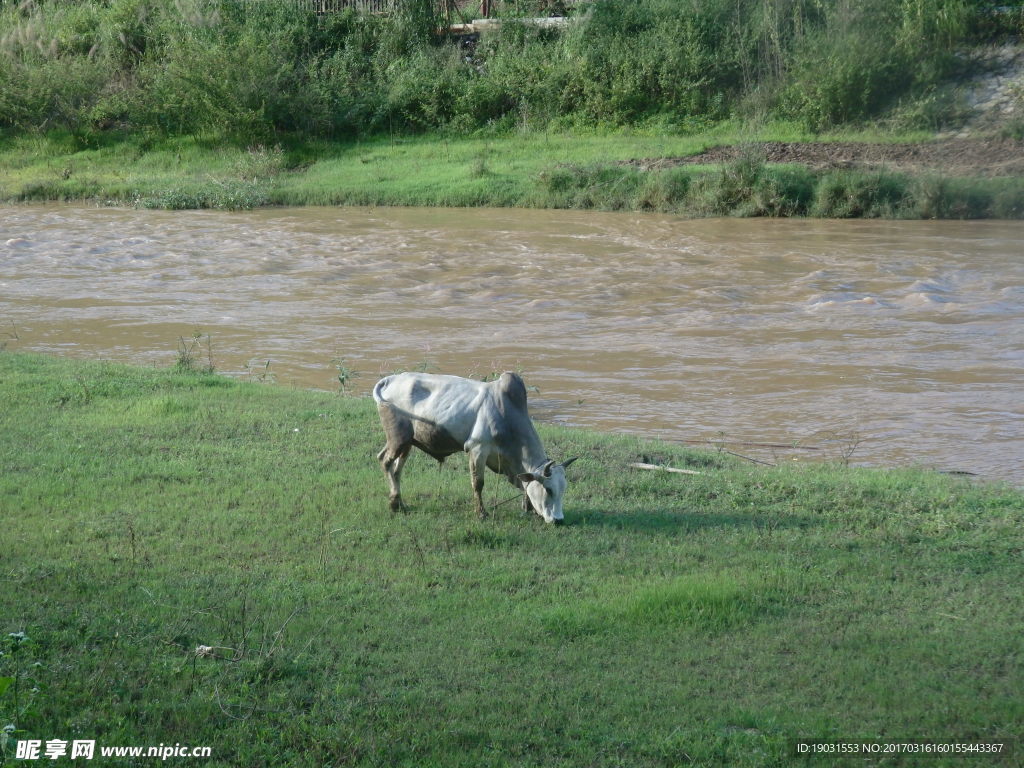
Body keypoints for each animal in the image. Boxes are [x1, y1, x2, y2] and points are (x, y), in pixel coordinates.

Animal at [372, 370, 577, 524]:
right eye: (548, 489)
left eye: (563, 489)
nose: (559, 520)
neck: (506, 415)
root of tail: (390, 379)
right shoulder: (477, 449)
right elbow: (478, 484)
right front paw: (481, 513)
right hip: (398, 438)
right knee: (385, 461)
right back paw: (394, 504)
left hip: (407, 443)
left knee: (396, 469)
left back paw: (399, 503)